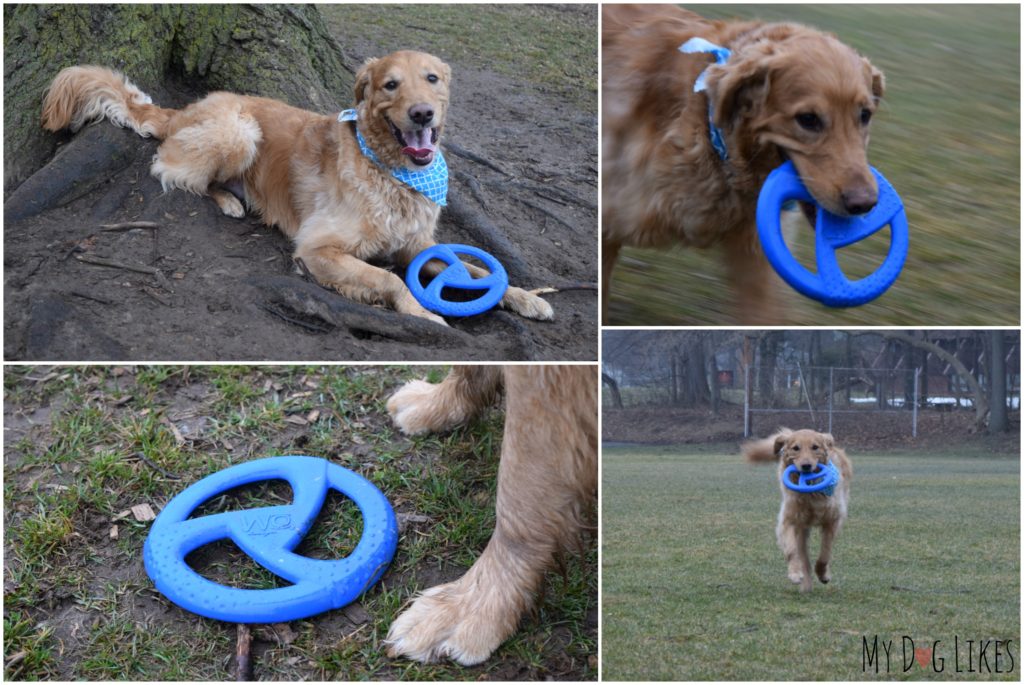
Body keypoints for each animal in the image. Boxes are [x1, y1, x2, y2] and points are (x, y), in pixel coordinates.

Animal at [39, 50, 557, 325]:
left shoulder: (416, 246)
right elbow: (390, 278)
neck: (393, 173)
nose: (422, 113)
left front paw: (526, 296)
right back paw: (230, 201)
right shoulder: (318, 248)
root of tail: (185, 109)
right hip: (238, 131)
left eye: (431, 79)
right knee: (168, 169)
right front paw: (425, 314)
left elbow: (471, 267)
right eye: (390, 85)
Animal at [741, 430, 851, 589]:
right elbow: (792, 550)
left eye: (815, 447)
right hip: (801, 529)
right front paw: (794, 574)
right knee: (803, 555)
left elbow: (825, 553)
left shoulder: (832, 520)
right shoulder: (789, 520)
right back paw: (805, 582)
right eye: (796, 448)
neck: (810, 494)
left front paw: (823, 574)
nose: (806, 466)